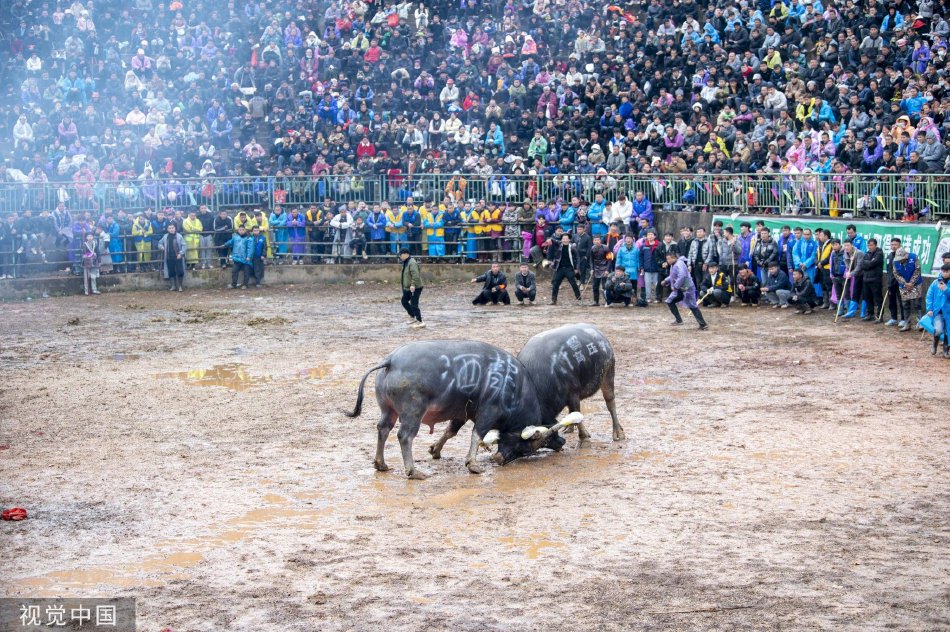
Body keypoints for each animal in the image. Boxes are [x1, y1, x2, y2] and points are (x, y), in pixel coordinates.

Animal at [344, 326, 624, 478]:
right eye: (526, 448)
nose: (560, 442)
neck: (513, 385)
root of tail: (390, 360)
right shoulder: (488, 411)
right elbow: (477, 435)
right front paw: (473, 464)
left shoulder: (462, 412)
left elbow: (452, 431)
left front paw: (436, 449)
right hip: (412, 411)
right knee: (404, 436)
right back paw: (413, 471)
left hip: (387, 410)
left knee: (382, 429)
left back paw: (381, 464)